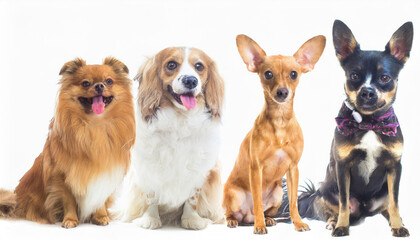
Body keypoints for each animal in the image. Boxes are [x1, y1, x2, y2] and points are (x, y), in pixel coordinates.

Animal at [0, 57, 135, 228]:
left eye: (109, 81)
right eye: (85, 83)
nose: (99, 85)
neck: (95, 126)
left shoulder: (104, 174)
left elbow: (100, 198)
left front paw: (100, 216)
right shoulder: (62, 178)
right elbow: (69, 201)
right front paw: (70, 219)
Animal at [223, 34, 324, 233]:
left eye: (294, 74)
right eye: (268, 74)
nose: (282, 91)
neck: (280, 121)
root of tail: (247, 216)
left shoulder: (293, 169)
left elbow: (293, 203)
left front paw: (298, 223)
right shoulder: (256, 169)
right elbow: (257, 201)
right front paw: (260, 226)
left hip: (277, 192)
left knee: (265, 210)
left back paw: (268, 219)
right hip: (234, 195)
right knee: (233, 213)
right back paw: (237, 221)